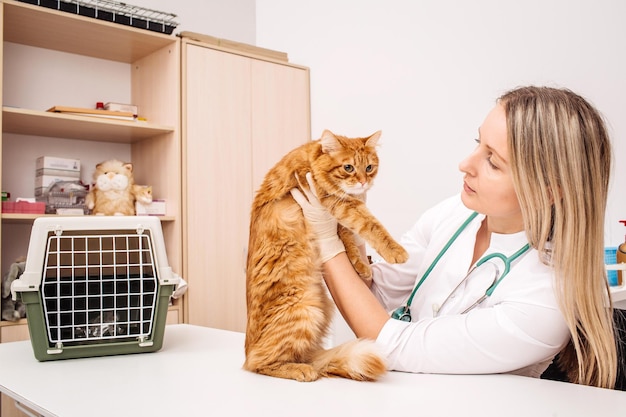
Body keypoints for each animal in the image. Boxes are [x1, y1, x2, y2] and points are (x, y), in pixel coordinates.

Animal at [244, 130, 410, 380]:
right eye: (348, 168)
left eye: (369, 167)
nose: (363, 182)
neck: (311, 158)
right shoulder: (336, 201)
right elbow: (369, 225)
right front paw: (395, 251)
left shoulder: (338, 211)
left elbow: (347, 237)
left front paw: (361, 266)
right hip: (305, 310)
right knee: (258, 363)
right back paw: (301, 370)